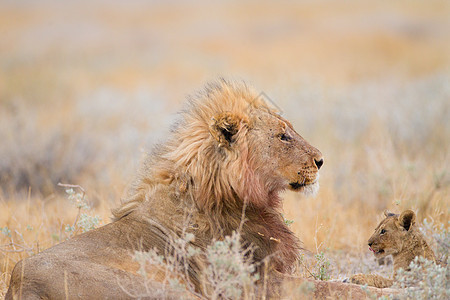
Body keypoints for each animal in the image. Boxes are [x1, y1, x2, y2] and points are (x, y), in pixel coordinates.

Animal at [6, 80, 394, 300]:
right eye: (283, 136)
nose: (321, 160)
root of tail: (19, 282)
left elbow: (346, 279)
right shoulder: (251, 284)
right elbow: (332, 287)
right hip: (170, 290)